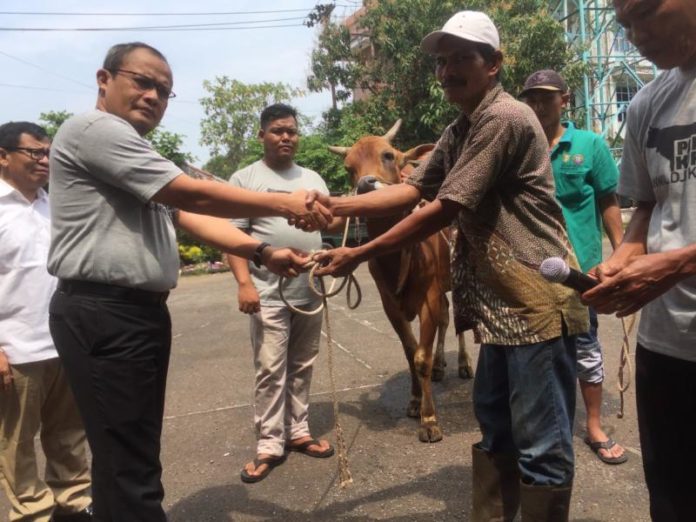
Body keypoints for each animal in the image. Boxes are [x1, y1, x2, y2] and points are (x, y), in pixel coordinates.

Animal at [328, 120, 474, 440]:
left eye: (388, 155)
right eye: (348, 167)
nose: (365, 185)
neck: (396, 254)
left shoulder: (428, 297)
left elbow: (421, 356)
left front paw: (429, 419)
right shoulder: (390, 305)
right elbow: (410, 352)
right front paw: (415, 401)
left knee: (455, 321)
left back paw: (463, 364)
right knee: (446, 319)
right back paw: (441, 366)